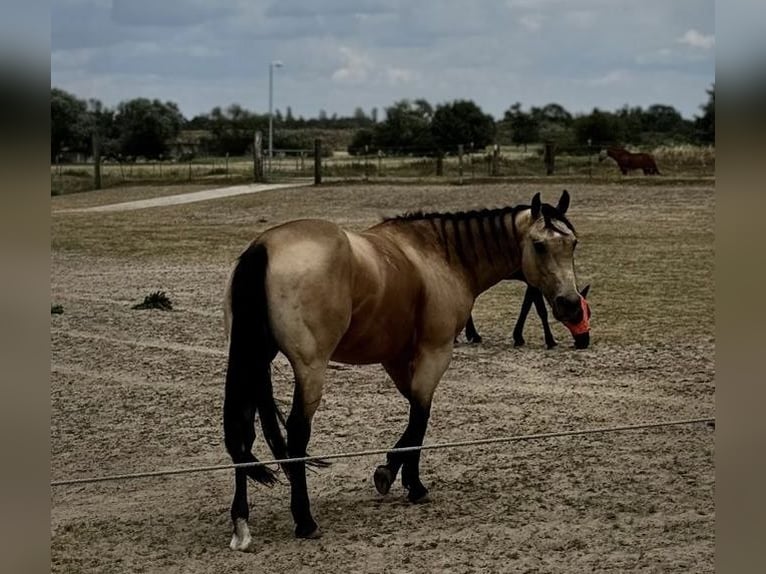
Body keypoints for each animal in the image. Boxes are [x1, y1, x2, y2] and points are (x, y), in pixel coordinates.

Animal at [222, 190, 586, 551]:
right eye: (539, 245)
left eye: (573, 243)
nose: (570, 304)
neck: (442, 255)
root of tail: (264, 246)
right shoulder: (435, 352)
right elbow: (420, 416)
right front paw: (411, 482)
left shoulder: (395, 358)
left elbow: (413, 415)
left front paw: (390, 470)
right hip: (310, 369)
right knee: (297, 435)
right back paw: (304, 519)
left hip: (251, 361)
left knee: (242, 432)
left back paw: (241, 521)